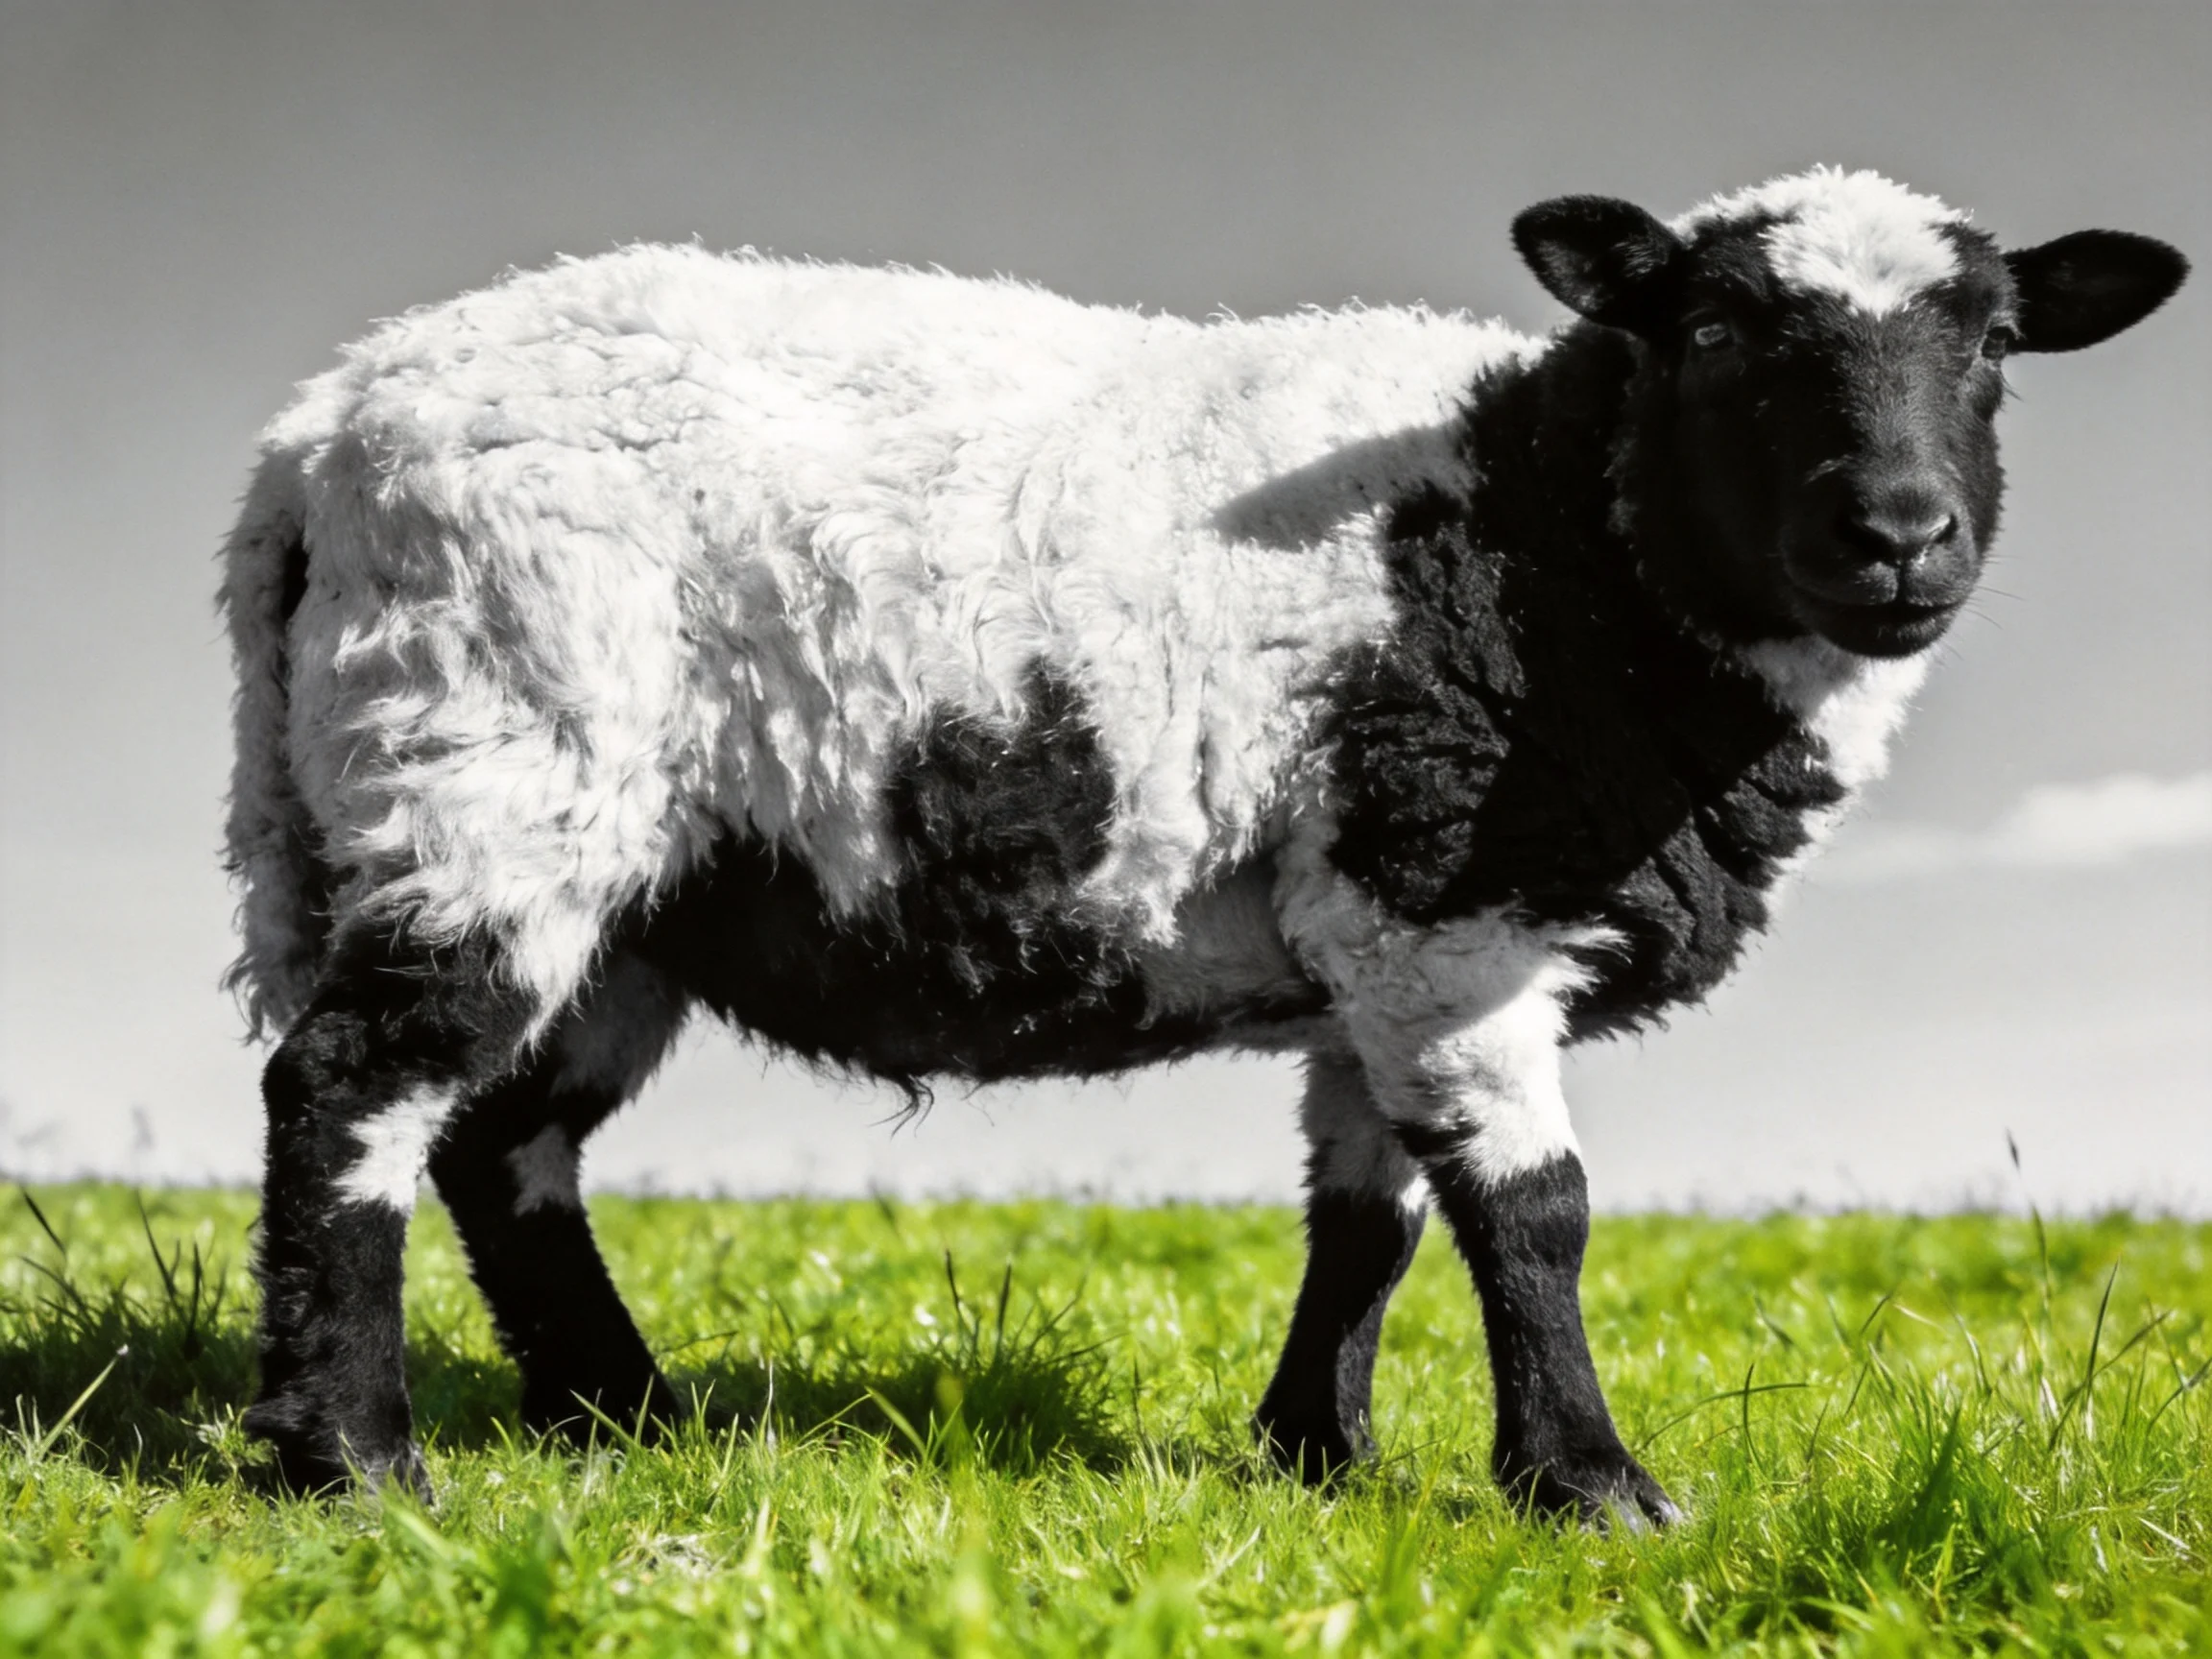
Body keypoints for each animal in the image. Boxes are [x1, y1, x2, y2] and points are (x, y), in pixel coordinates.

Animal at [221, 167, 2187, 1518]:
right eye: (1707, 335)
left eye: (1993, 348)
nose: (1899, 537)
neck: (1564, 536)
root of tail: (315, 441)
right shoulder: (1440, 906)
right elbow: (1531, 1207)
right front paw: (1587, 1488)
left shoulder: (1366, 946)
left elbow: (1369, 1218)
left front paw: (1319, 1457)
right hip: (489, 762)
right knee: (347, 1094)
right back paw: (358, 1462)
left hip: (621, 880)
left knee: (504, 1145)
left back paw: (622, 1419)